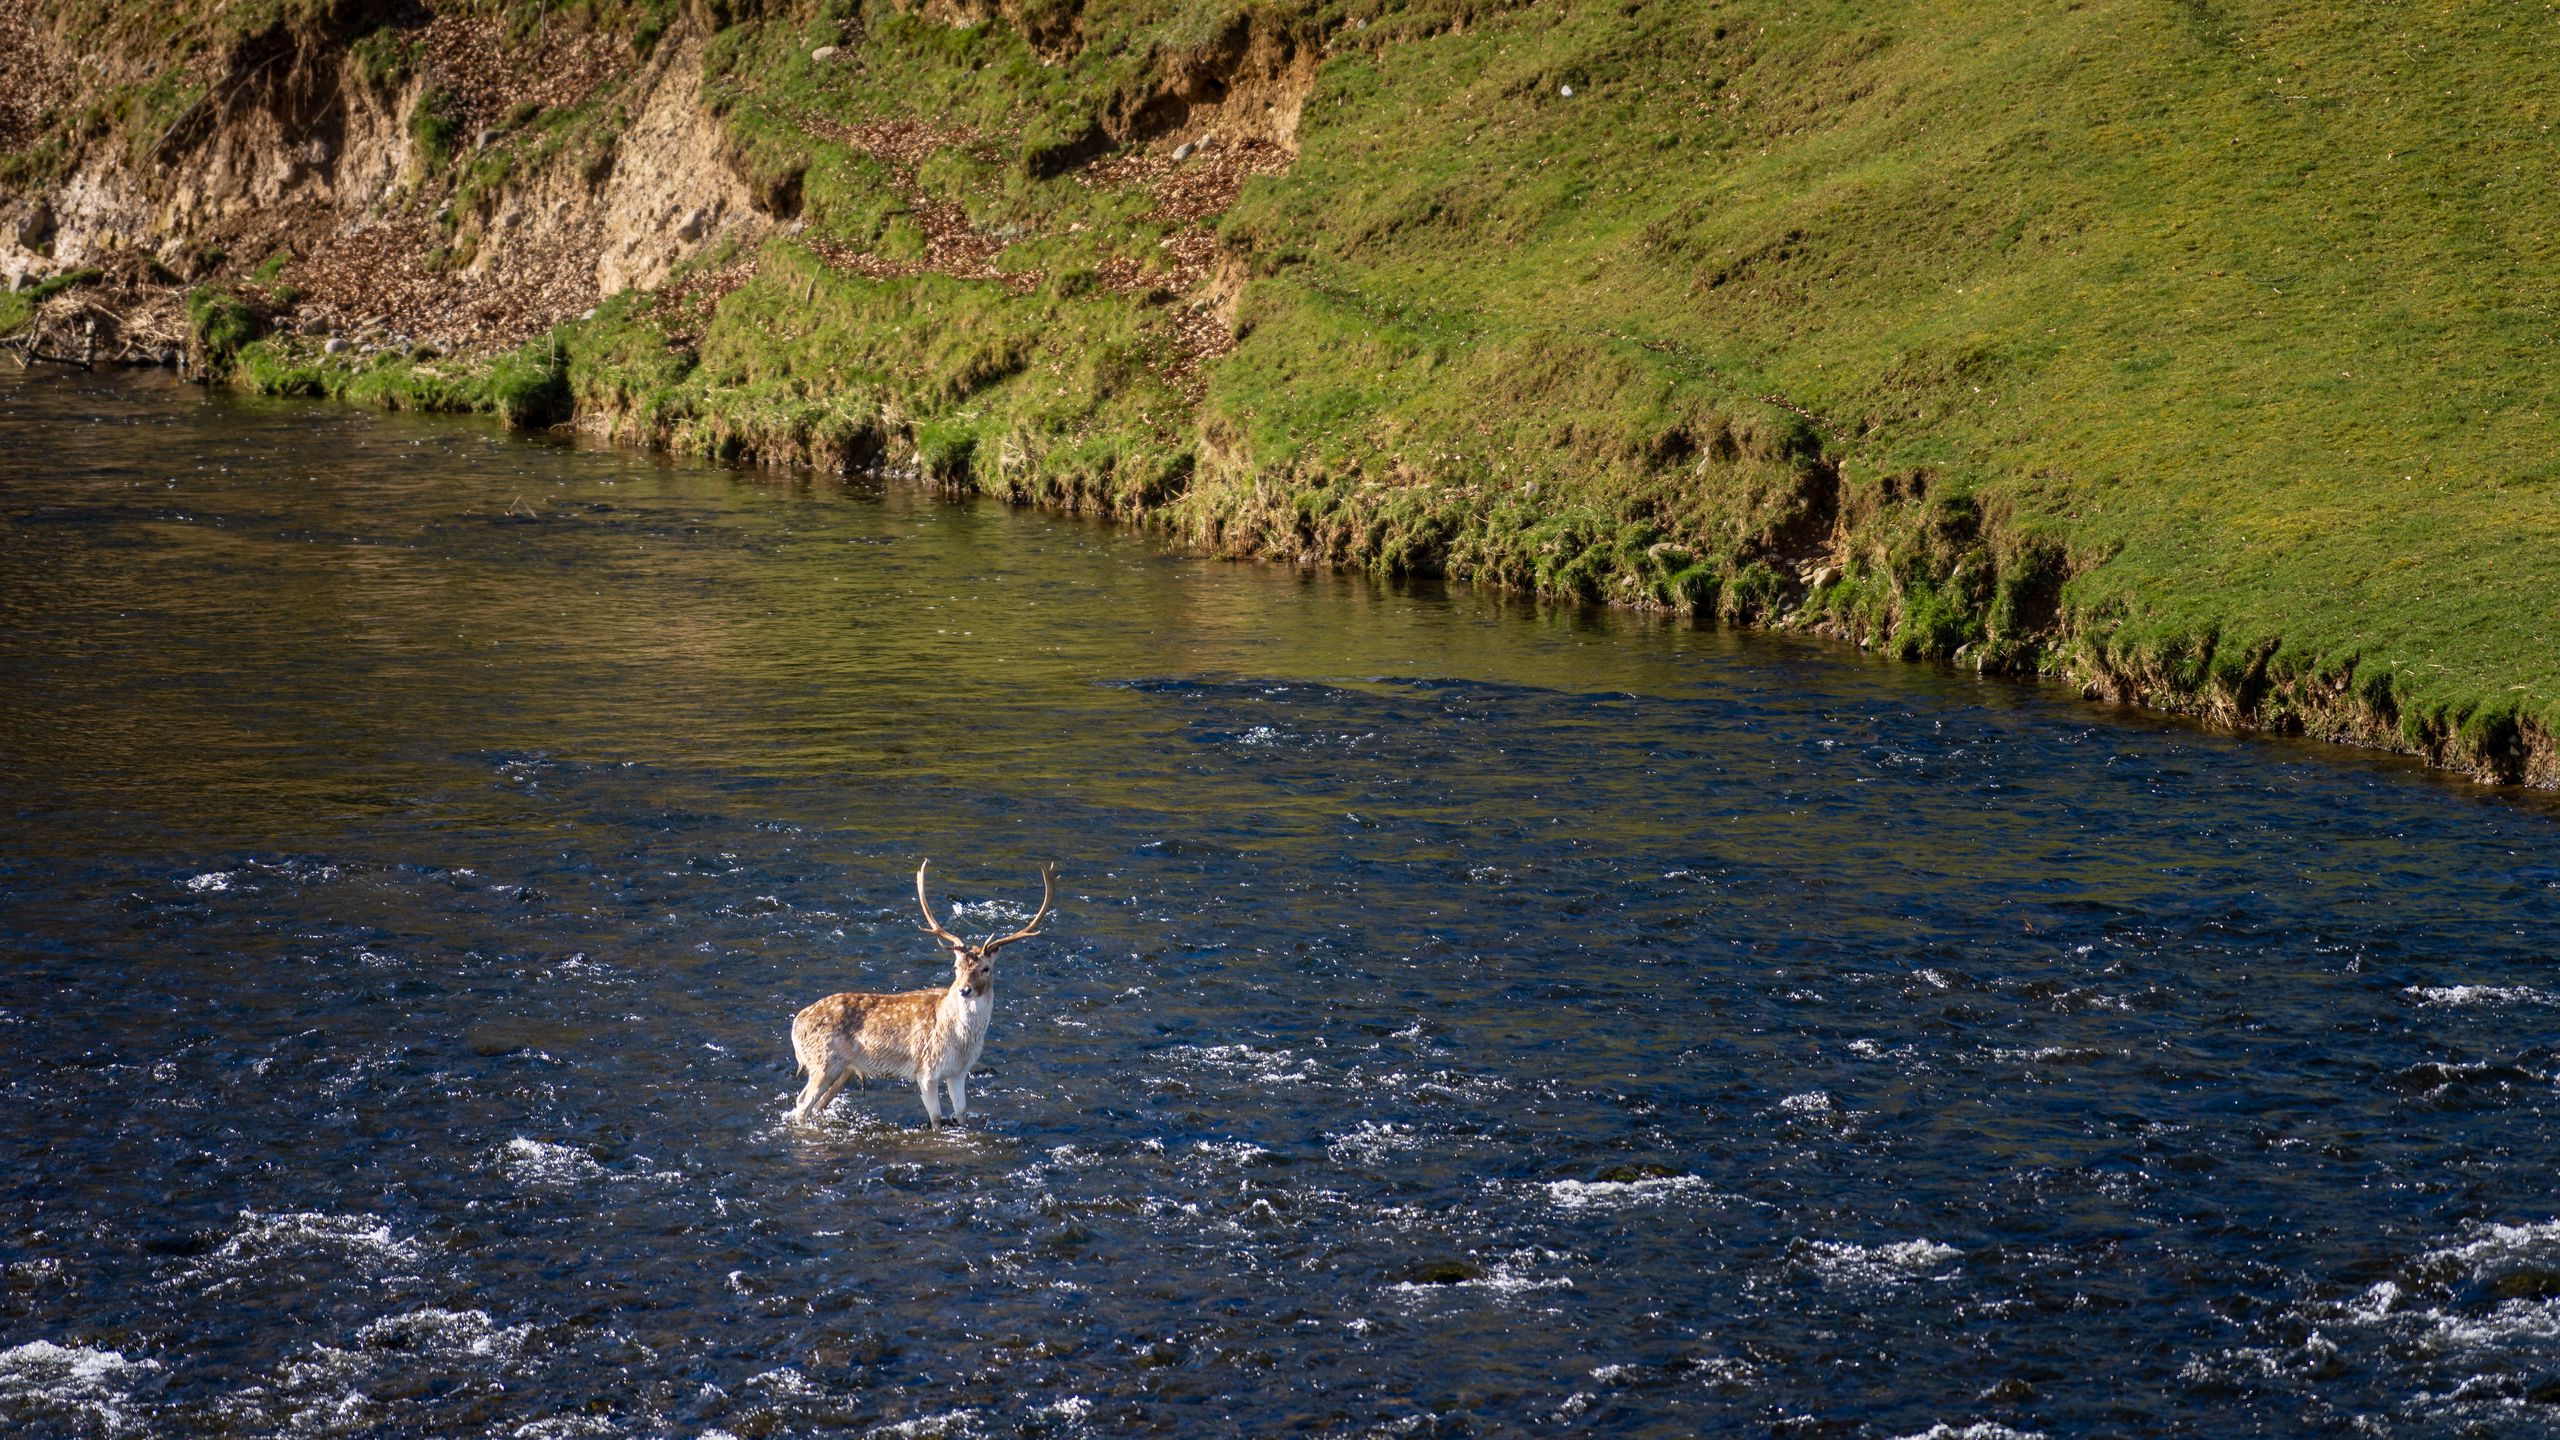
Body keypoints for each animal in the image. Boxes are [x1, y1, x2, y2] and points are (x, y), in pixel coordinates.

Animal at [788, 850, 1049, 1122]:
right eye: (955, 967)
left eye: (985, 968)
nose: (964, 990)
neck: (962, 1045)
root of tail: (796, 1025)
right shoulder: (926, 1069)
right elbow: (936, 1118)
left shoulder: (959, 1072)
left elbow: (961, 1113)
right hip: (822, 1061)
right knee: (802, 1102)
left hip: (843, 1069)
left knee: (814, 1103)